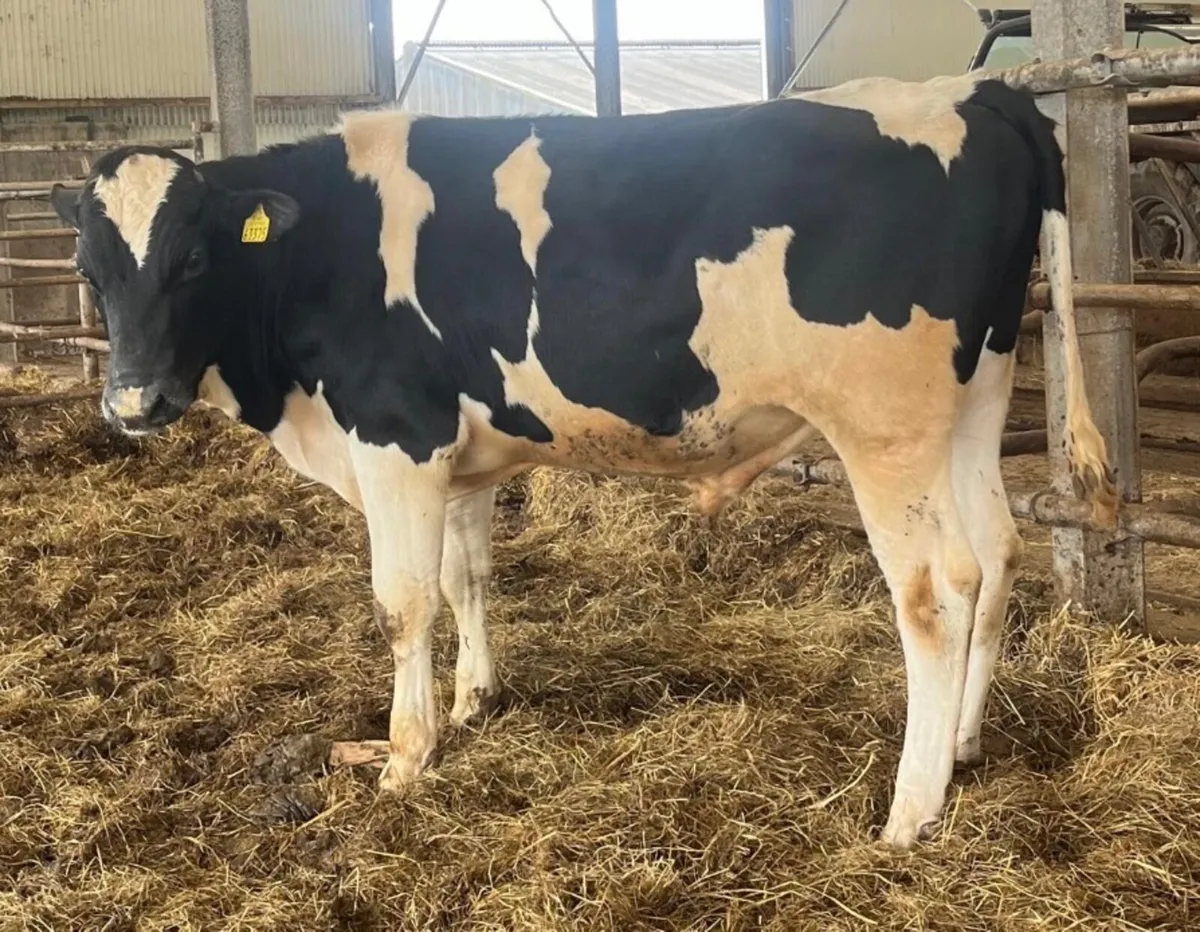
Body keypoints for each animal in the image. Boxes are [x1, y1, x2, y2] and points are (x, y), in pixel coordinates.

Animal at [51, 71, 1116, 850]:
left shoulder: (397, 437)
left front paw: (404, 758)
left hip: (883, 427)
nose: (133, 401)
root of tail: (973, 90)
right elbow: (466, 575)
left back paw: (908, 811)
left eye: (193, 259)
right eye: (88, 270)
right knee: (1000, 553)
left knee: (938, 590)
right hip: (976, 396)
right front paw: (474, 703)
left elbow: (403, 602)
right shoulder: (458, 453)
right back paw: (964, 749)